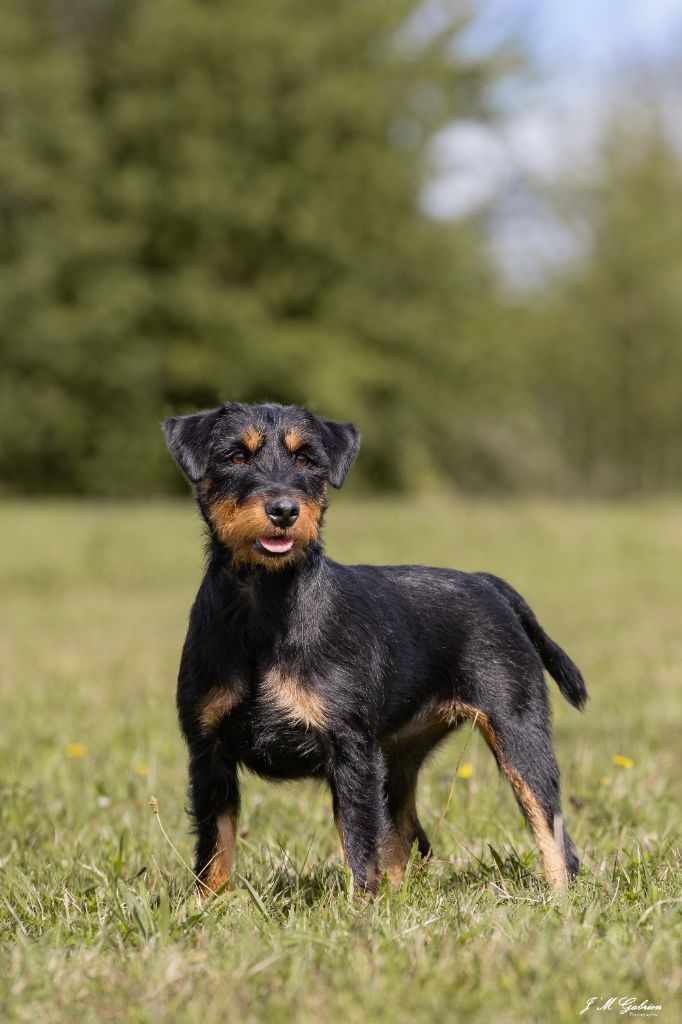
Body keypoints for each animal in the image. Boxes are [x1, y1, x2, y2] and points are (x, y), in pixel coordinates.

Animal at [163, 399, 585, 897]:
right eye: (235, 456)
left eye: (306, 459)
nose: (284, 510)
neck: (263, 608)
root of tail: (486, 582)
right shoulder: (208, 754)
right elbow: (215, 847)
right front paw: (208, 905)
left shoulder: (350, 753)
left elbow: (360, 846)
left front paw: (359, 908)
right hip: (398, 757)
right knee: (401, 834)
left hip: (518, 734)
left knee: (552, 830)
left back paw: (558, 898)